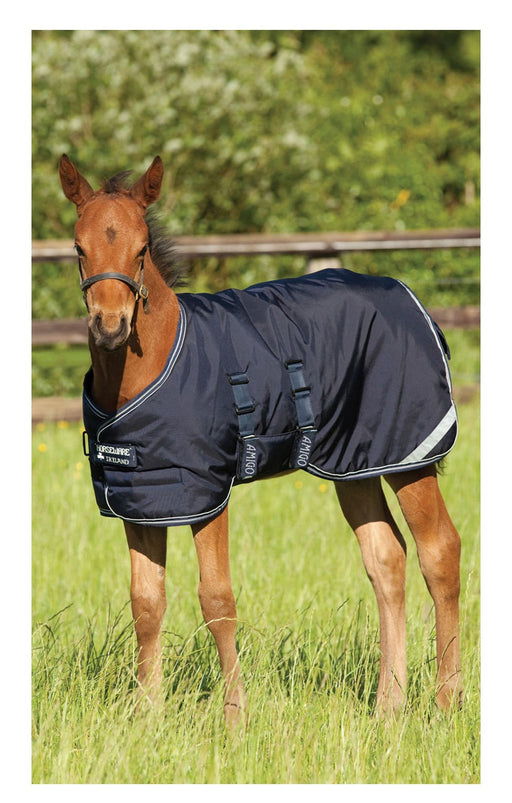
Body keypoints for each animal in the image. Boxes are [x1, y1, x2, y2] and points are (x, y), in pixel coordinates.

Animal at [59, 154, 462, 730]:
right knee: (387, 558)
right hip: (353, 464)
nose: (110, 326)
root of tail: (415, 303)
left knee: (439, 552)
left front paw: (234, 719)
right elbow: (145, 603)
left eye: (141, 249)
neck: (152, 365)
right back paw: (389, 706)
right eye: (78, 247)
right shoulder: (141, 499)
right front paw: (146, 717)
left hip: (408, 456)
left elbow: (216, 600)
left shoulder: (206, 492)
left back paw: (447, 702)